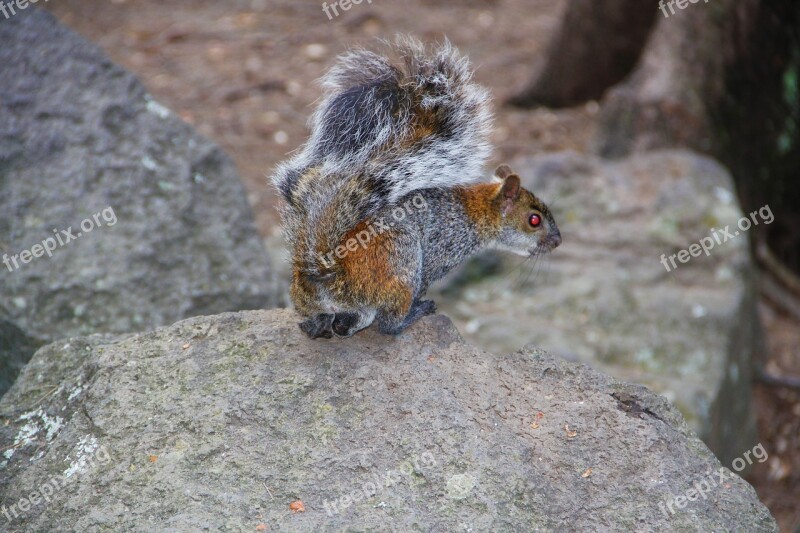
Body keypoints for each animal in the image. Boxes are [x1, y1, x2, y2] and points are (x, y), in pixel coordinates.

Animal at [272, 37, 560, 338]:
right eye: (534, 220)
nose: (557, 241)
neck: (475, 211)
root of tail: (327, 274)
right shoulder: (439, 254)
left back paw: (320, 326)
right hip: (402, 264)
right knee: (388, 323)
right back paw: (412, 315)